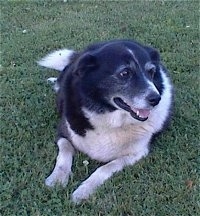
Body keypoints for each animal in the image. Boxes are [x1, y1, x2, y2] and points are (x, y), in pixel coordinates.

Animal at [38, 39, 173, 203]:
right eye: (125, 73)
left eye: (151, 72)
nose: (156, 99)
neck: (111, 119)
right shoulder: (63, 132)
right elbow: (65, 150)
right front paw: (57, 179)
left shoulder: (138, 152)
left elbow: (106, 167)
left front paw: (84, 190)